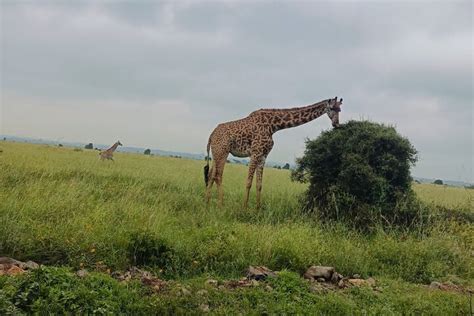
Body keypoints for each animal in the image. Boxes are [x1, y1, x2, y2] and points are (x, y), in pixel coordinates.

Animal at [205, 97, 344, 209]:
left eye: (340, 109)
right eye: (332, 108)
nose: (336, 124)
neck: (274, 126)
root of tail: (211, 135)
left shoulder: (263, 156)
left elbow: (259, 184)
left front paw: (257, 209)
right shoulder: (255, 152)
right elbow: (248, 182)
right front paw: (243, 208)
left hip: (216, 153)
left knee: (211, 175)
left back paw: (207, 203)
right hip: (222, 151)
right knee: (217, 175)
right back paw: (220, 205)